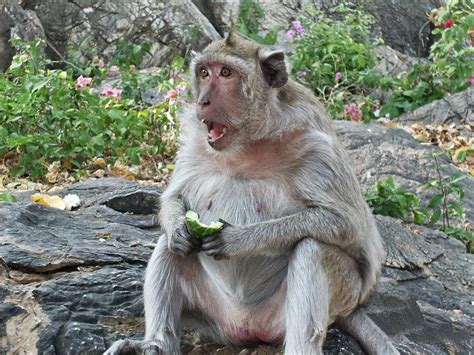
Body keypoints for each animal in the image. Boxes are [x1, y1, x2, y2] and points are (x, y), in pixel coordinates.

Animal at [105, 33, 398, 355]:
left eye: (226, 73)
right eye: (204, 72)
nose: (203, 101)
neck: (247, 144)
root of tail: (247, 327)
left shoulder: (316, 147)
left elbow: (346, 223)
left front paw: (237, 240)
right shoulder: (195, 140)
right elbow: (174, 199)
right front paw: (181, 229)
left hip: (338, 297)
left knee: (312, 248)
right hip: (214, 317)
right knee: (169, 247)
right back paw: (156, 344)